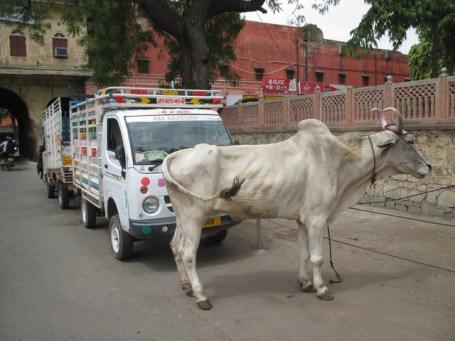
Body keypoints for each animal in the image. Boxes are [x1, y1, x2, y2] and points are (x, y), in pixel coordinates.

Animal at [163, 107, 432, 310]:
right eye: (410, 141)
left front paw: (305, 283)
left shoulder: (302, 219)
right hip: (194, 217)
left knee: (175, 246)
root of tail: (176, 156)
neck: (341, 163)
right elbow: (317, 257)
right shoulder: (317, 218)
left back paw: (186, 287)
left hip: (182, 218)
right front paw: (322, 289)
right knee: (188, 254)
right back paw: (201, 296)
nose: (428, 167)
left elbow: (303, 253)